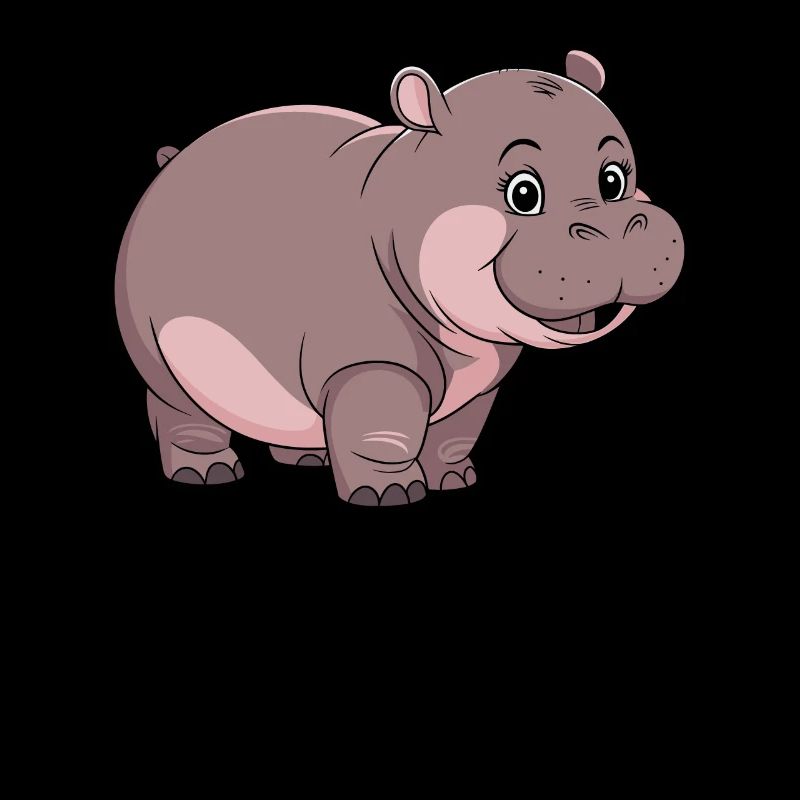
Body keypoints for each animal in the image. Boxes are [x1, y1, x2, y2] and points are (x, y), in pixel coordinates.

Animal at [116, 50, 684, 506]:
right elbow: (384, 433)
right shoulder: (371, 361)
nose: (621, 229)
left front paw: (456, 482)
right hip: (155, 351)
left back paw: (308, 460)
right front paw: (390, 496)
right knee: (177, 407)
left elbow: (455, 435)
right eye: (524, 193)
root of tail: (170, 163)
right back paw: (207, 474)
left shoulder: (481, 383)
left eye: (614, 179)